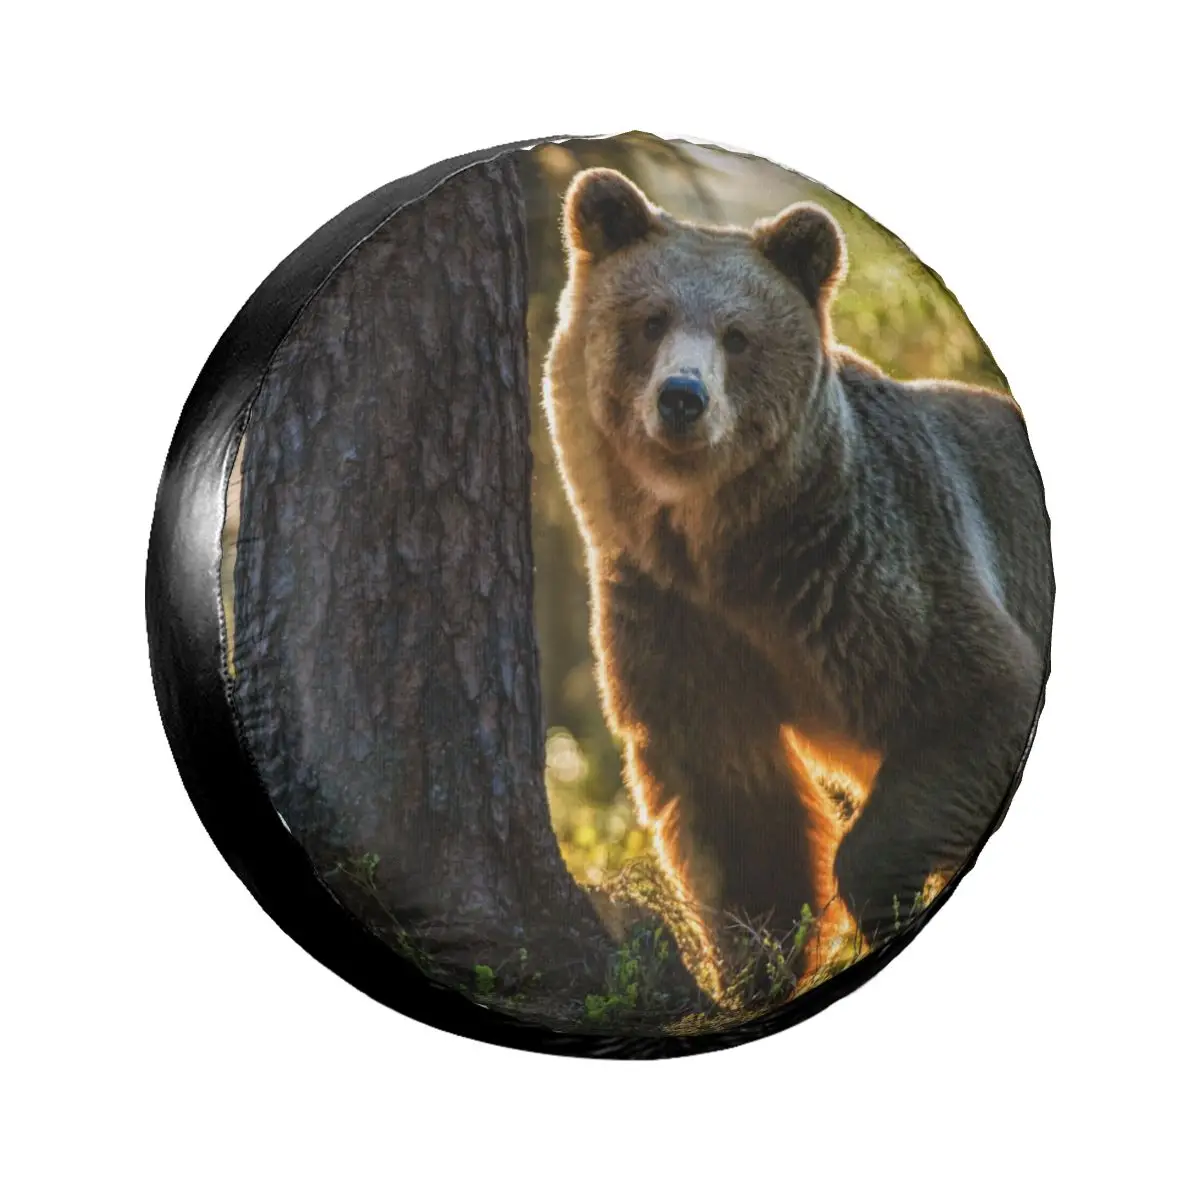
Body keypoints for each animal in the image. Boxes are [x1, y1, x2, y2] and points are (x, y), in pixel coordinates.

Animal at [543, 167, 1052, 1000]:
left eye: (737, 334)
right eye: (650, 319)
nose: (682, 398)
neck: (730, 548)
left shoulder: (872, 573)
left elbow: (975, 692)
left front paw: (877, 898)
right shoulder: (675, 614)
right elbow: (739, 813)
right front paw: (759, 962)